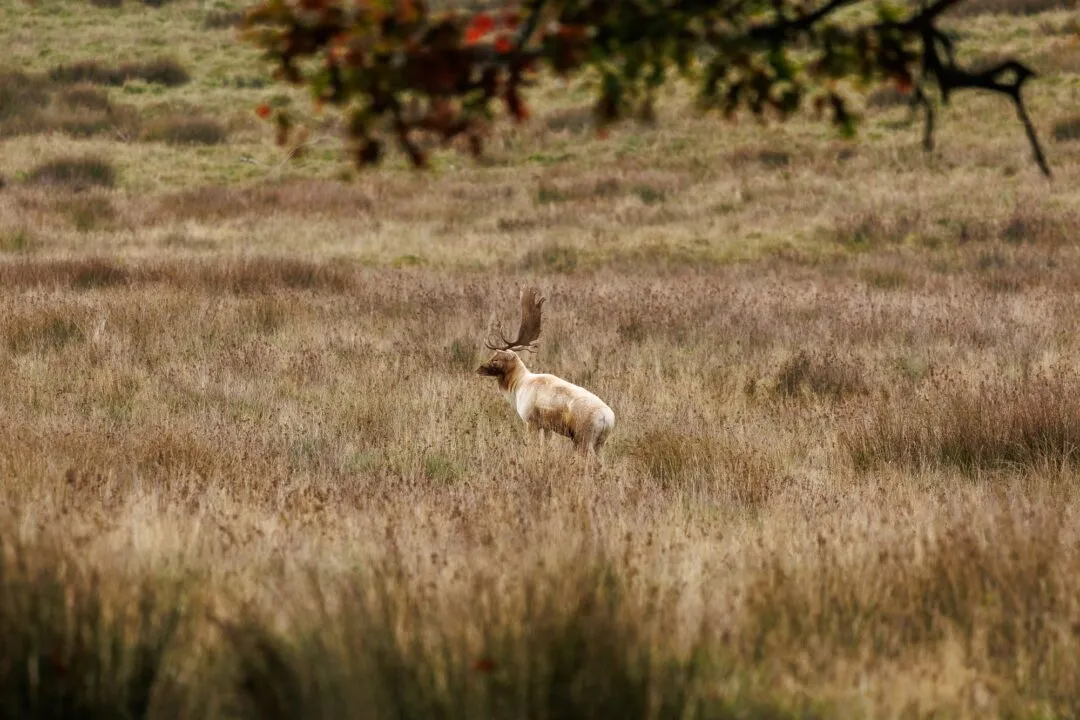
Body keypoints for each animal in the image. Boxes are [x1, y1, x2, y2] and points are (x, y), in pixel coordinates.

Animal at [476, 287, 615, 462]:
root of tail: (607, 419)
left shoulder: (530, 421)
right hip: (600, 444)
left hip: (583, 439)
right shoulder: (548, 427)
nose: (479, 369)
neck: (518, 386)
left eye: (496, 359)